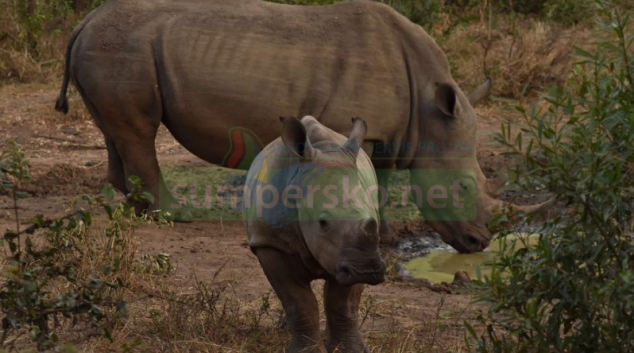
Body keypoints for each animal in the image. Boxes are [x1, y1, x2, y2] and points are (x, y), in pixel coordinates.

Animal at [242, 115, 382, 352]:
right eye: (323, 222)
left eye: (374, 220)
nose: (368, 270)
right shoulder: (270, 242)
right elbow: (299, 303)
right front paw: (305, 350)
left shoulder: (349, 256)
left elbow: (342, 305)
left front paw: (349, 349)